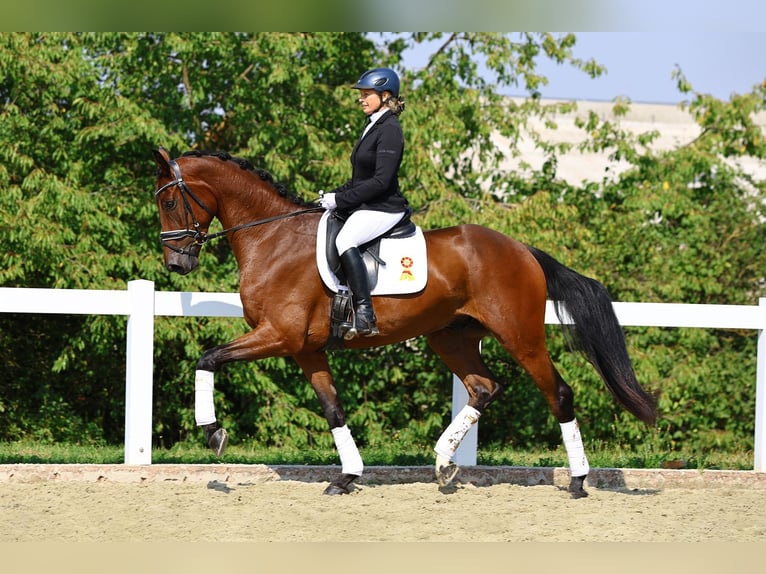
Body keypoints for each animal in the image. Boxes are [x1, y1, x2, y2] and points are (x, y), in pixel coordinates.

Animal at [153, 145, 656, 500]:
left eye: (171, 202)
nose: (177, 263)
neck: (273, 238)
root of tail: (522, 250)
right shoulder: (305, 348)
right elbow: (333, 409)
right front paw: (347, 476)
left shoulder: (278, 336)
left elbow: (208, 359)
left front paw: (214, 433)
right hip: (450, 337)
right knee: (484, 387)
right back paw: (443, 464)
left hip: (521, 336)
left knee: (558, 393)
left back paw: (577, 481)